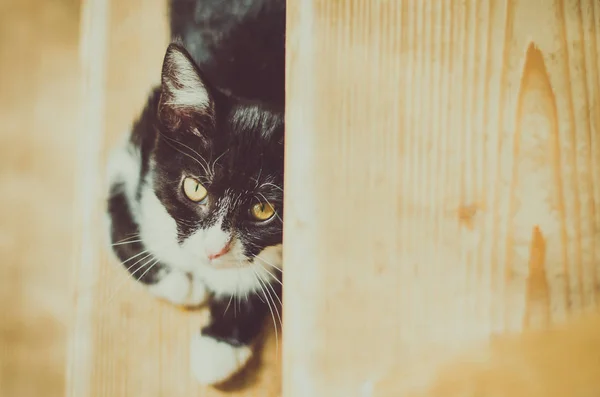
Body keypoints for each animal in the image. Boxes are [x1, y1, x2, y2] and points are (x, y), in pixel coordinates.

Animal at [105, 0, 286, 384]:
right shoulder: (134, 147)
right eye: (194, 188)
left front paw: (219, 345)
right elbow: (122, 228)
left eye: (263, 210)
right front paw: (184, 285)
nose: (212, 251)